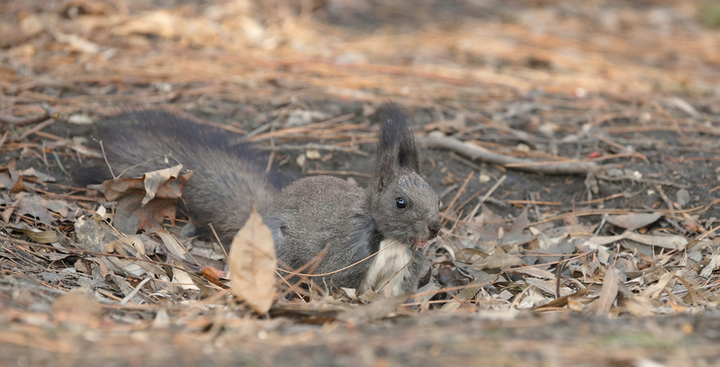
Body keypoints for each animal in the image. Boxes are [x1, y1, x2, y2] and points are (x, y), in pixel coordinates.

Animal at [86, 105, 444, 294]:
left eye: (436, 196)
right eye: (400, 202)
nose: (435, 227)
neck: (391, 241)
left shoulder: (401, 274)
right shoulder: (344, 259)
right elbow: (336, 286)